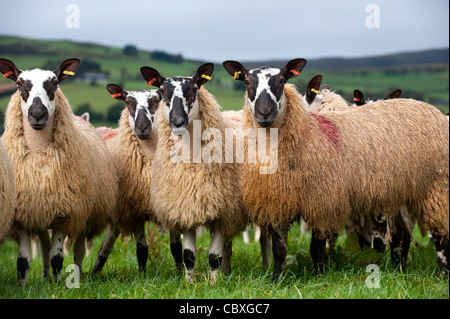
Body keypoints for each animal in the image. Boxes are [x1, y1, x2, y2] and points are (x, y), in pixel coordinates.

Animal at [0, 58, 118, 286]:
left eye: (54, 83)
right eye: (19, 83)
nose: (38, 114)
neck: (38, 151)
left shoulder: (66, 214)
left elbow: (57, 257)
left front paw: (57, 286)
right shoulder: (23, 216)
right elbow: (23, 261)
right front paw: (23, 286)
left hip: (83, 216)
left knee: (78, 250)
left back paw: (77, 276)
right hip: (40, 213)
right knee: (44, 245)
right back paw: (44, 275)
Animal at [140, 62, 248, 282]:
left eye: (194, 88)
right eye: (161, 91)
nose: (177, 121)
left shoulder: (224, 212)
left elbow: (214, 256)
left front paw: (214, 284)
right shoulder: (186, 208)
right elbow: (188, 256)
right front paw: (190, 282)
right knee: (228, 248)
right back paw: (227, 272)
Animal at [223, 59, 448, 280]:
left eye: (281, 80)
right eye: (247, 82)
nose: (264, 113)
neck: (307, 133)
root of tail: (431, 109)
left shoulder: (323, 201)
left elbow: (316, 247)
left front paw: (320, 277)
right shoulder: (278, 200)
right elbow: (279, 248)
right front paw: (276, 279)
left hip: (435, 188)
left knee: (440, 236)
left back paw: (442, 275)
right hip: (398, 194)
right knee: (402, 235)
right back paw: (397, 270)